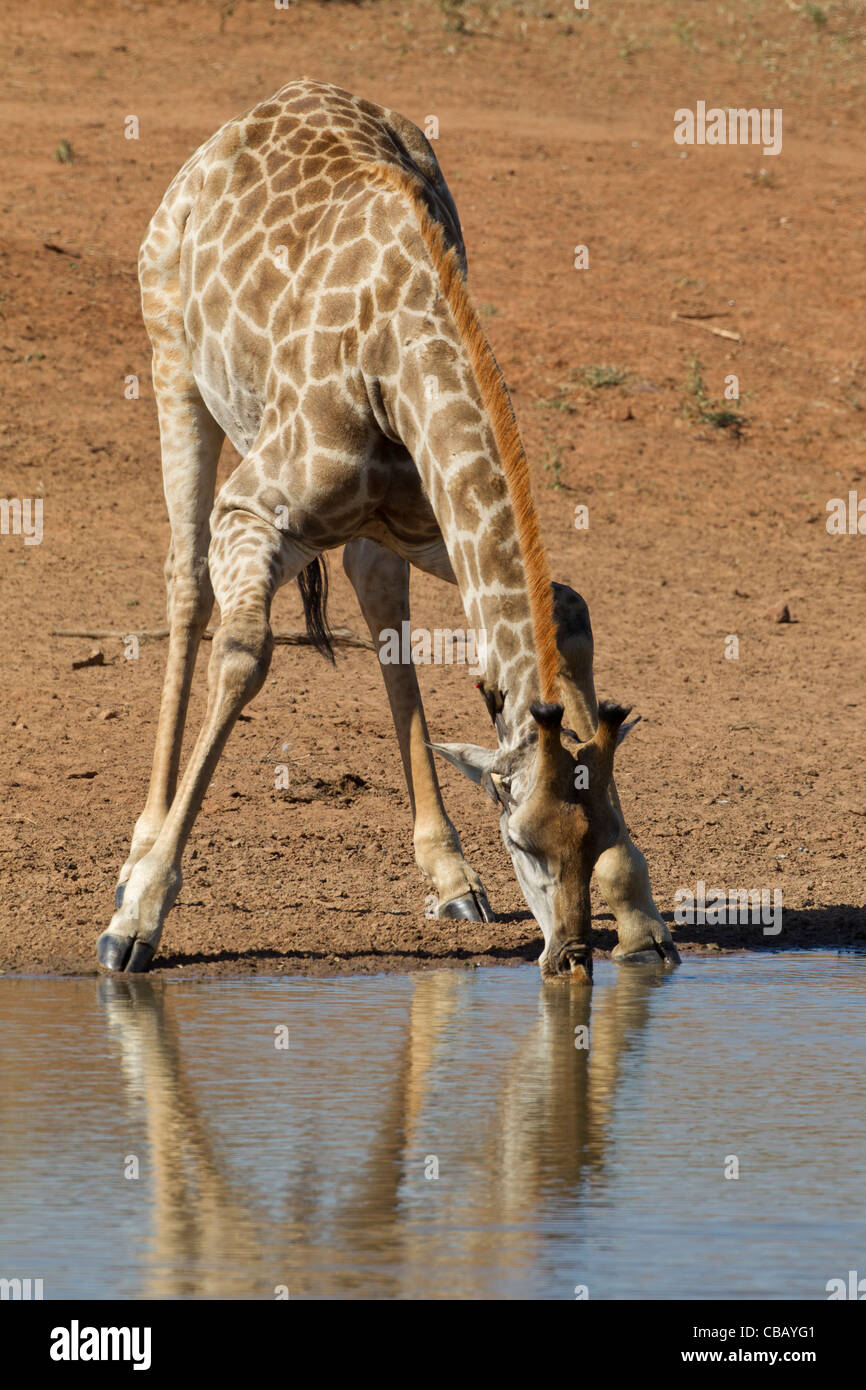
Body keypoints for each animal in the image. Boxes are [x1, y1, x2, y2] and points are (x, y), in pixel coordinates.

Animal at [97, 78, 679, 981]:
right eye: (524, 842)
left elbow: (567, 607)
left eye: (599, 836)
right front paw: (138, 918)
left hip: (382, 531)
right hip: (172, 364)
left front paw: (644, 920)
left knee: (378, 603)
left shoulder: (427, 519)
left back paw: (451, 877)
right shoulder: (250, 511)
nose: (571, 957)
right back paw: (137, 851)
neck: (396, 357)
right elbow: (245, 652)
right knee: (185, 585)